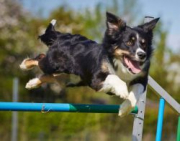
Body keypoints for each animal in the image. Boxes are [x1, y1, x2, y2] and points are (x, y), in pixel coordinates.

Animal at [19, 11, 159, 117]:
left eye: (144, 44)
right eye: (129, 42)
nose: (142, 55)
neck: (120, 65)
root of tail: (63, 36)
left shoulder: (141, 79)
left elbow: (136, 93)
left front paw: (124, 110)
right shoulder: (96, 79)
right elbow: (114, 77)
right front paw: (122, 90)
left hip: (70, 79)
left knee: (50, 76)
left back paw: (32, 83)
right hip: (52, 64)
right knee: (40, 59)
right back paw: (24, 65)